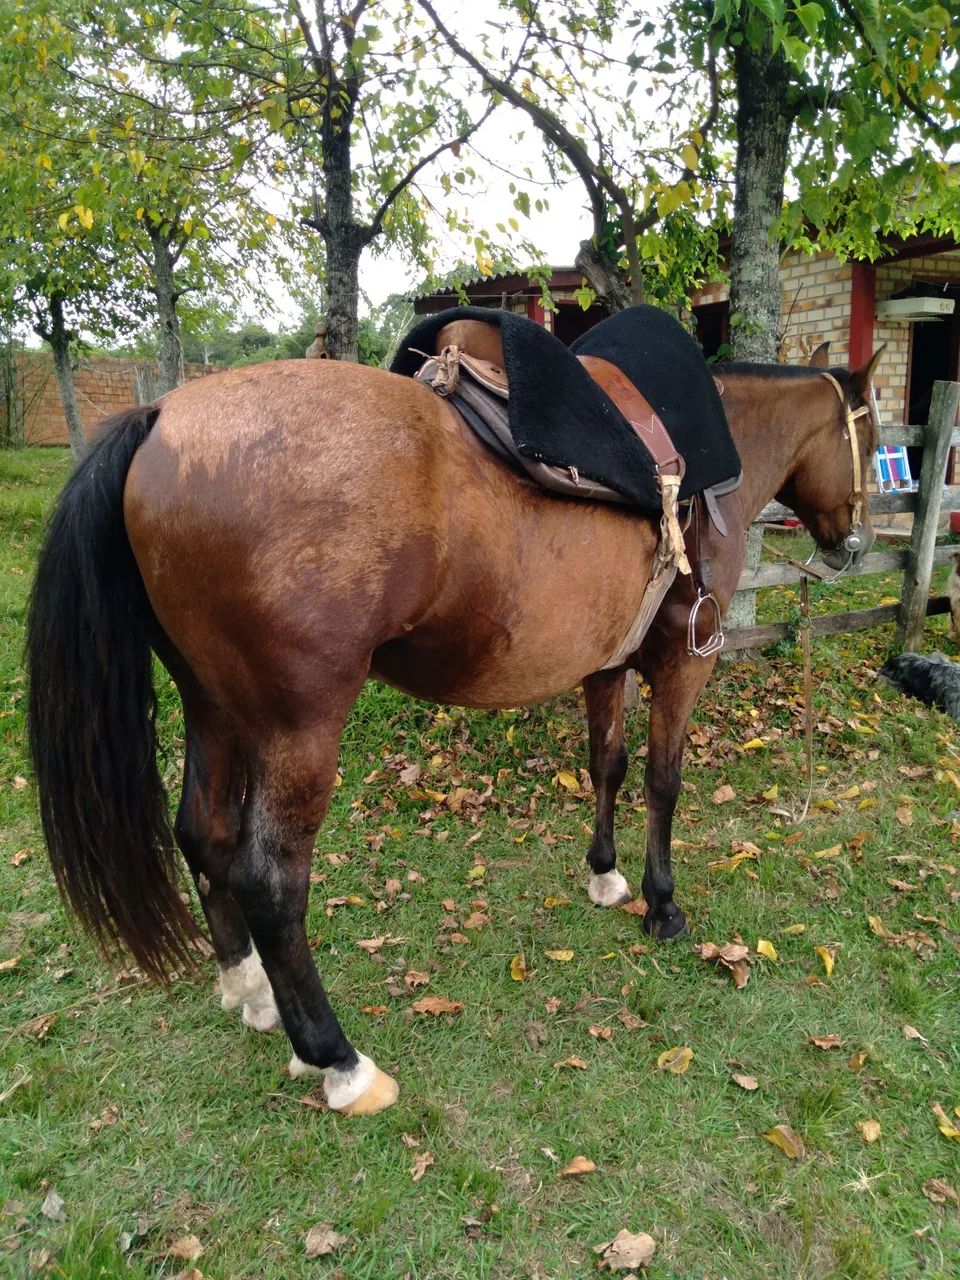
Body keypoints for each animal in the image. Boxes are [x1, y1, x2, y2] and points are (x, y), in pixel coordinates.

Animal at [26, 337, 881, 1116]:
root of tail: (165, 418)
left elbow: (606, 764)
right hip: (296, 729)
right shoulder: (683, 663)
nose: (855, 543)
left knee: (202, 833)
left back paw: (250, 991)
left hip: (214, 706)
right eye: (870, 438)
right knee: (270, 880)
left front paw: (604, 875)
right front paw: (661, 905)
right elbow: (662, 782)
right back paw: (338, 1060)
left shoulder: (606, 666)